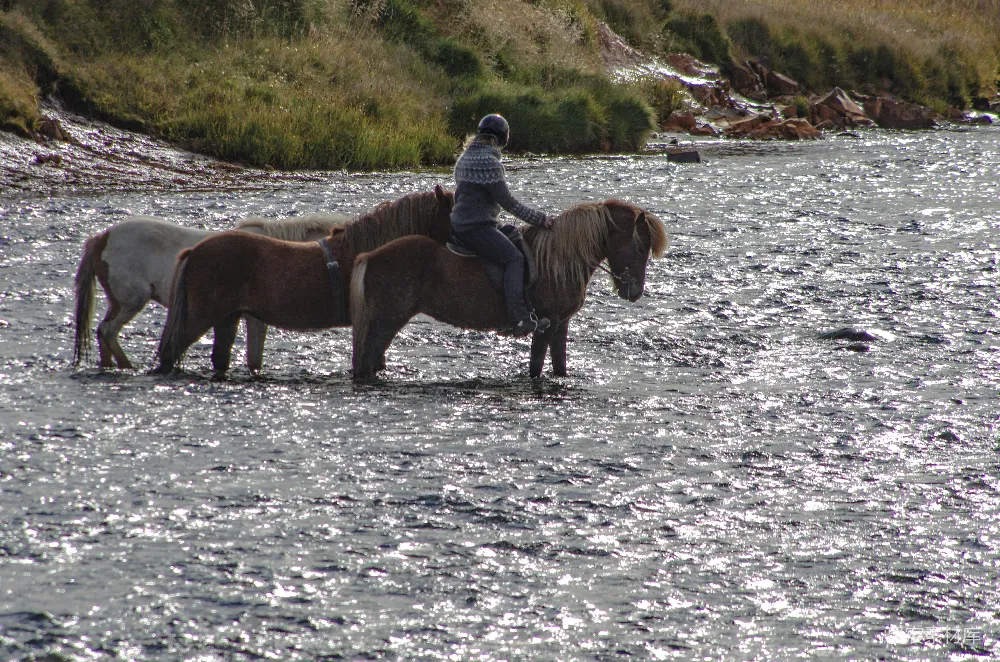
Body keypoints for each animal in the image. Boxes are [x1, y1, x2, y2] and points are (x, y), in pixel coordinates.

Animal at [73, 213, 348, 371]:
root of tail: (101, 238)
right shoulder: (255, 318)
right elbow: (254, 359)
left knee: (104, 334)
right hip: (131, 301)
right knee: (108, 331)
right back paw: (128, 367)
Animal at [349, 199, 668, 380]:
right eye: (641, 246)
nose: (634, 292)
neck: (559, 259)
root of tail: (371, 256)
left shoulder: (560, 325)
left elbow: (559, 365)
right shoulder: (546, 324)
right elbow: (536, 367)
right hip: (387, 321)